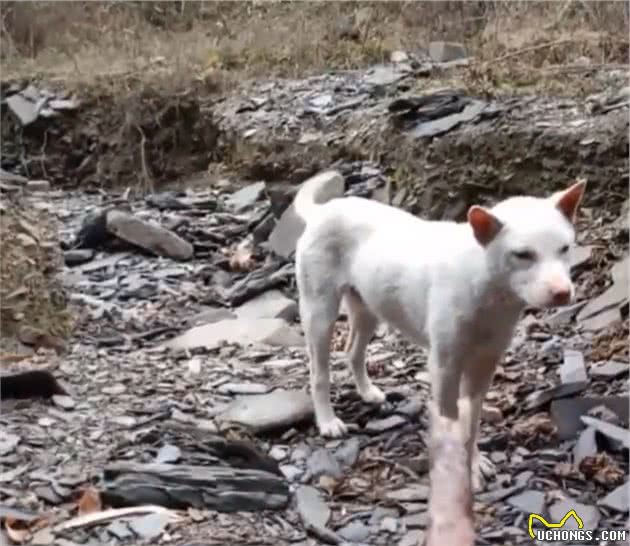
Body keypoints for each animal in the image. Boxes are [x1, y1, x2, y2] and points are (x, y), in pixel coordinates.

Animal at [296, 168, 588, 486]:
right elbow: (451, 419)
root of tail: (323, 211)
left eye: (565, 248)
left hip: (368, 307)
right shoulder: (445, 368)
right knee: (319, 372)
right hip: (319, 312)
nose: (562, 293)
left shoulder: (483, 367)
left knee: (352, 351)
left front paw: (474, 463)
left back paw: (368, 392)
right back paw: (327, 421)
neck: (485, 285)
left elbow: (471, 422)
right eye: (523, 254)